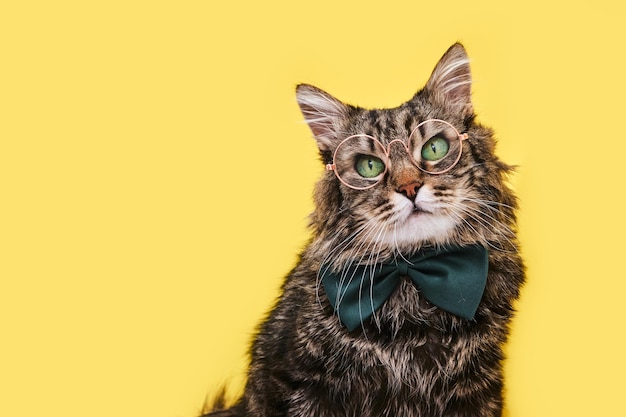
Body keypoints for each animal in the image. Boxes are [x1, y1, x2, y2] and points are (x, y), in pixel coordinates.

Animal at [204, 43, 520, 416]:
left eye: (434, 148)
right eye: (369, 166)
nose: (410, 188)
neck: (410, 277)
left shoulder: (478, 387)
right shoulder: (303, 386)